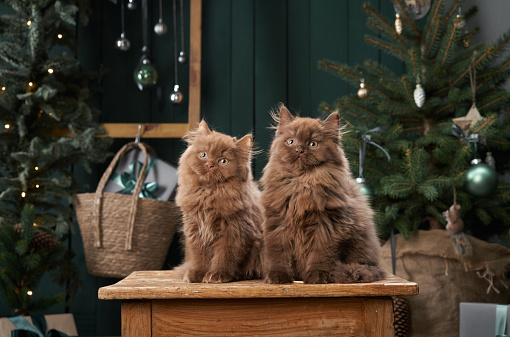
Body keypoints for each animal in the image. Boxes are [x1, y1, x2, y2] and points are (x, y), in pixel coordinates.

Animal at [174, 119, 262, 282]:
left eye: (223, 161)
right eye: (203, 155)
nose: (209, 164)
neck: (208, 194)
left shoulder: (233, 230)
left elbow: (224, 256)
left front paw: (217, 275)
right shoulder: (195, 229)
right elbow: (200, 256)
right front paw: (197, 274)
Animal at [260, 103, 384, 282]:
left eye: (312, 144)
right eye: (291, 141)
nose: (299, 150)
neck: (302, 185)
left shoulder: (326, 226)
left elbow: (320, 256)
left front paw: (316, 278)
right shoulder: (277, 223)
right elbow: (279, 256)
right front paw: (278, 277)